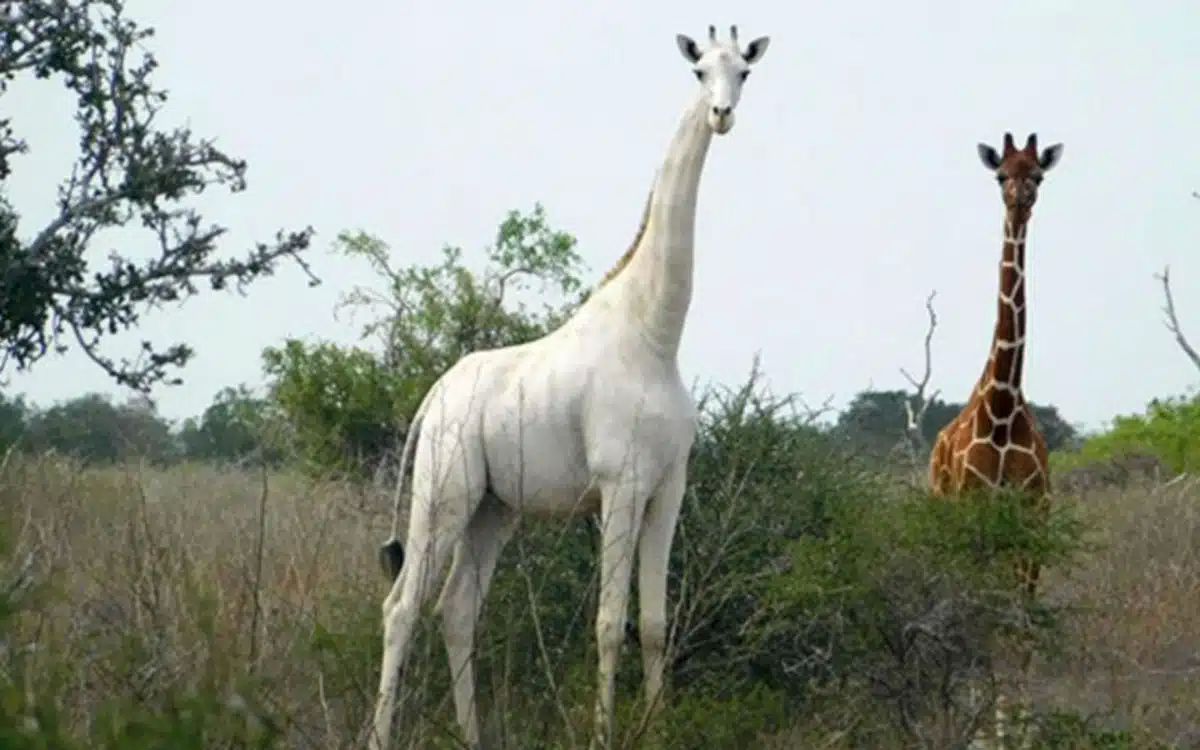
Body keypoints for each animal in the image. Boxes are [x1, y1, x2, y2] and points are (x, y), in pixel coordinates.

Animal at [368, 25, 770, 750]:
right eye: (699, 70)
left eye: (744, 72)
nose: (722, 115)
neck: (655, 334)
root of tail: (432, 398)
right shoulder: (620, 484)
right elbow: (610, 623)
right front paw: (604, 734)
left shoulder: (669, 487)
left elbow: (655, 623)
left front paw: (656, 730)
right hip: (444, 492)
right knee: (402, 605)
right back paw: (381, 736)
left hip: (494, 508)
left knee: (456, 608)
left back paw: (474, 737)